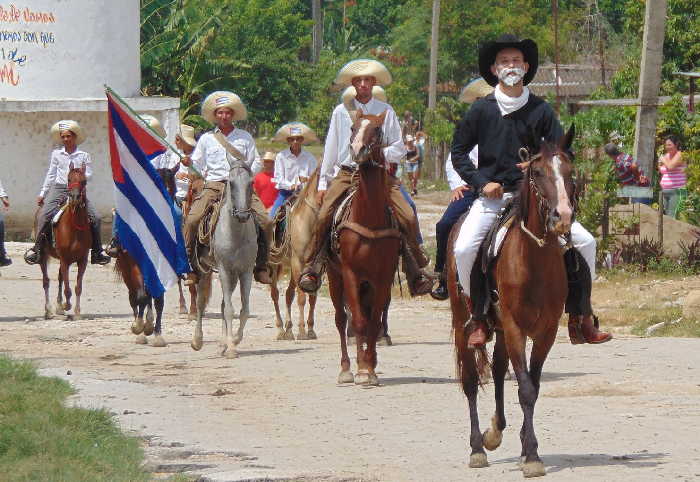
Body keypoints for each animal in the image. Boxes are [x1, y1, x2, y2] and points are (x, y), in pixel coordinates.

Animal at [39, 165, 92, 320]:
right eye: (68, 179)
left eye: (84, 181)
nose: (74, 198)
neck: (74, 228)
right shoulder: (64, 259)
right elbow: (68, 289)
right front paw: (66, 305)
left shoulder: (82, 260)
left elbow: (77, 287)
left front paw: (77, 311)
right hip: (43, 256)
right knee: (46, 281)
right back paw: (48, 310)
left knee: (60, 277)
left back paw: (58, 306)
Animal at [326, 111, 400, 386]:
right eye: (352, 127)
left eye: (378, 129)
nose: (358, 150)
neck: (368, 218)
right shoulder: (350, 273)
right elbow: (357, 321)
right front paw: (361, 371)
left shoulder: (382, 277)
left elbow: (374, 321)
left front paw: (369, 367)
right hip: (334, 276)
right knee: (341, 318)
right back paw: (347, 368)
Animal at [448, 126, 576, 476]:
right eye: (537, 172)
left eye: (570, 171)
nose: (563, 216)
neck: (534, 259)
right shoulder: (516, 327)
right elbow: (526, 388)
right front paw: (531, 456)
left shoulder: (546, 331)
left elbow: (531, 385)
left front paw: (525, 447)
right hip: (464, 324)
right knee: (470, 381)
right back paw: (477, 448)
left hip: (502, 330)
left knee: (498, 369)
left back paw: (495, 431)